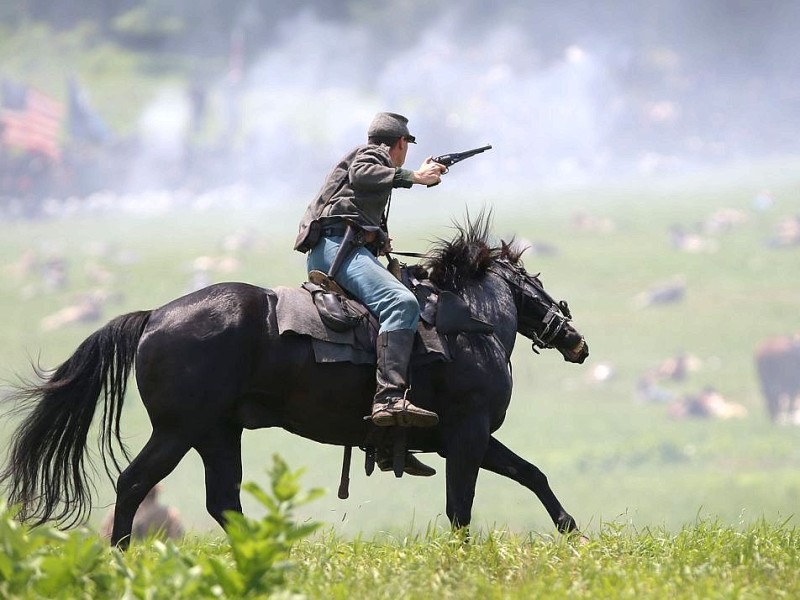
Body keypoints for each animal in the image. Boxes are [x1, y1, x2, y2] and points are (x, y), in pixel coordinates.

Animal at [0, 217, 588, 548]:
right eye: (535, 281)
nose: (575, 339)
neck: (469, 323)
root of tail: (153, 317)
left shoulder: (463, 439)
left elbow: (530, 474)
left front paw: (571, 530)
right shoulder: (467, 435)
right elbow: (462, 507)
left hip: (217, 433)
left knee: (223, 501)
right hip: (178, 431)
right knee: (135, 483)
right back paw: (122, 556)